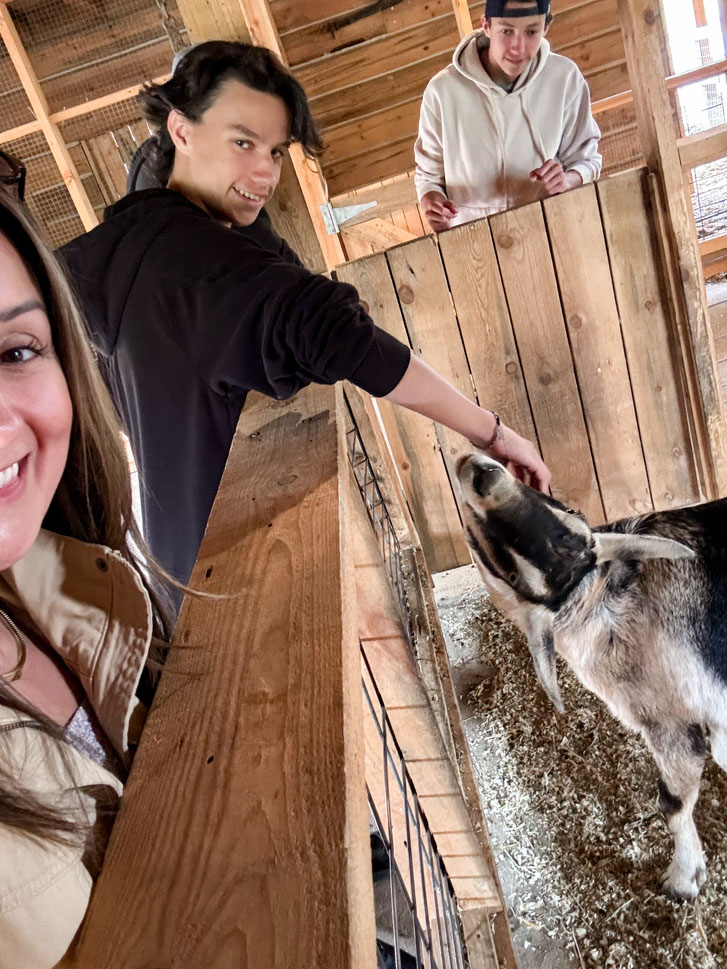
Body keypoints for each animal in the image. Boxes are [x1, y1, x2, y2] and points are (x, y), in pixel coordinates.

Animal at [456, 454, 727, 900]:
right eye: (512, 571)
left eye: (571, 512)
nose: (484, 473)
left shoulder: (671, 722)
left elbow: (671, 803)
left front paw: (682, 879)